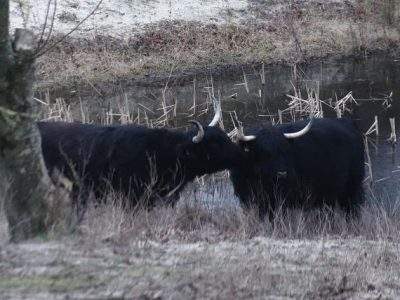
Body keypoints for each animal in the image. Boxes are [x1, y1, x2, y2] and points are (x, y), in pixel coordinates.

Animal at [231, 118, 366, 220]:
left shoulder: (281, 199)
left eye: (284, 150)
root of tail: (347, 122)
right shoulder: (248, 198)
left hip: (353, 186)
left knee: (351, 209)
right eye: (264, 152)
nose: (282, 173)